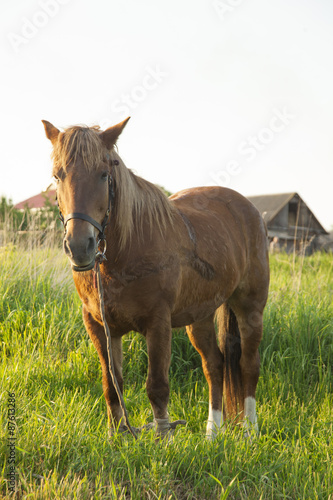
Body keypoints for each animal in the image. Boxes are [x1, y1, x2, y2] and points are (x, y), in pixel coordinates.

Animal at [42, 117, 270, 438]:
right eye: (57, 175)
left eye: (103, 174)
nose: (79, 246)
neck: (125, 252)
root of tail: (249, 208)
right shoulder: (99, 326)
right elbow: (112, 385)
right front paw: (116, 437)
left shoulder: (158, 322)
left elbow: (157, 388)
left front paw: (164, 440)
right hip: (200, 315)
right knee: (214, 365)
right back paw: (212, 434)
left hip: (250, 307)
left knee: (249, 364)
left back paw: (250, 432)